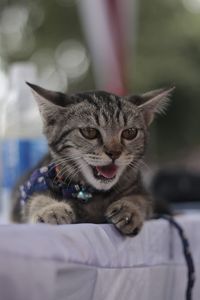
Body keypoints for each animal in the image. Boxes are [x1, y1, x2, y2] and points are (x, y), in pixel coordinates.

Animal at [11, 83, 173, 236]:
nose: (114, 152)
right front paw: (51, 209)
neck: (92, 193)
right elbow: (35, 199)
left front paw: (129, 209)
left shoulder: (140, 189)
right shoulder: (32, 187)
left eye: (130, 132)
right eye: (89, 132)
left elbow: (142, 200)